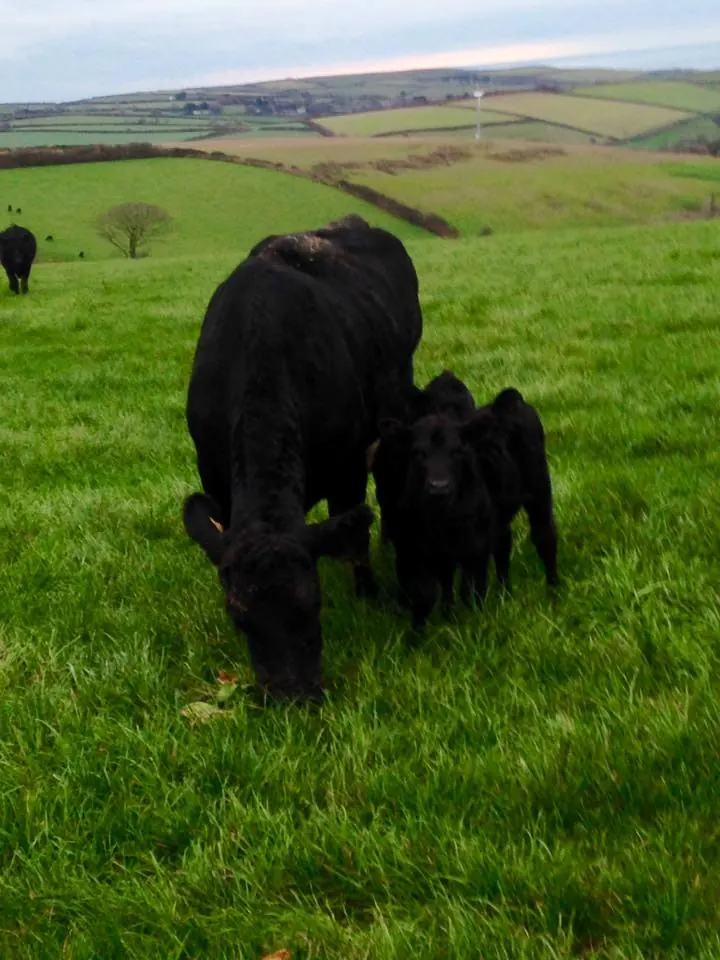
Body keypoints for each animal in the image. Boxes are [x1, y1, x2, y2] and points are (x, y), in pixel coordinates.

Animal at [183, 216, 423, 701]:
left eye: (314, 602)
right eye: (238, 617)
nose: (291, 695)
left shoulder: (348, 465)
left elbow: (354, 536)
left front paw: (368, 596)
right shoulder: (217, 483)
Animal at [373, 382, 558, 630]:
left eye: (458, 451)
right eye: (418, 453)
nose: (439, 486)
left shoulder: (475, 545)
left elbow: (470, 591)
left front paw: (475, 625)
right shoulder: (408, 544)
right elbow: (423, 593)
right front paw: (418, 633)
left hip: (539, 490)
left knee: (545, 536)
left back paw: (554, 592)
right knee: (502, 548)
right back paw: (504, 594)